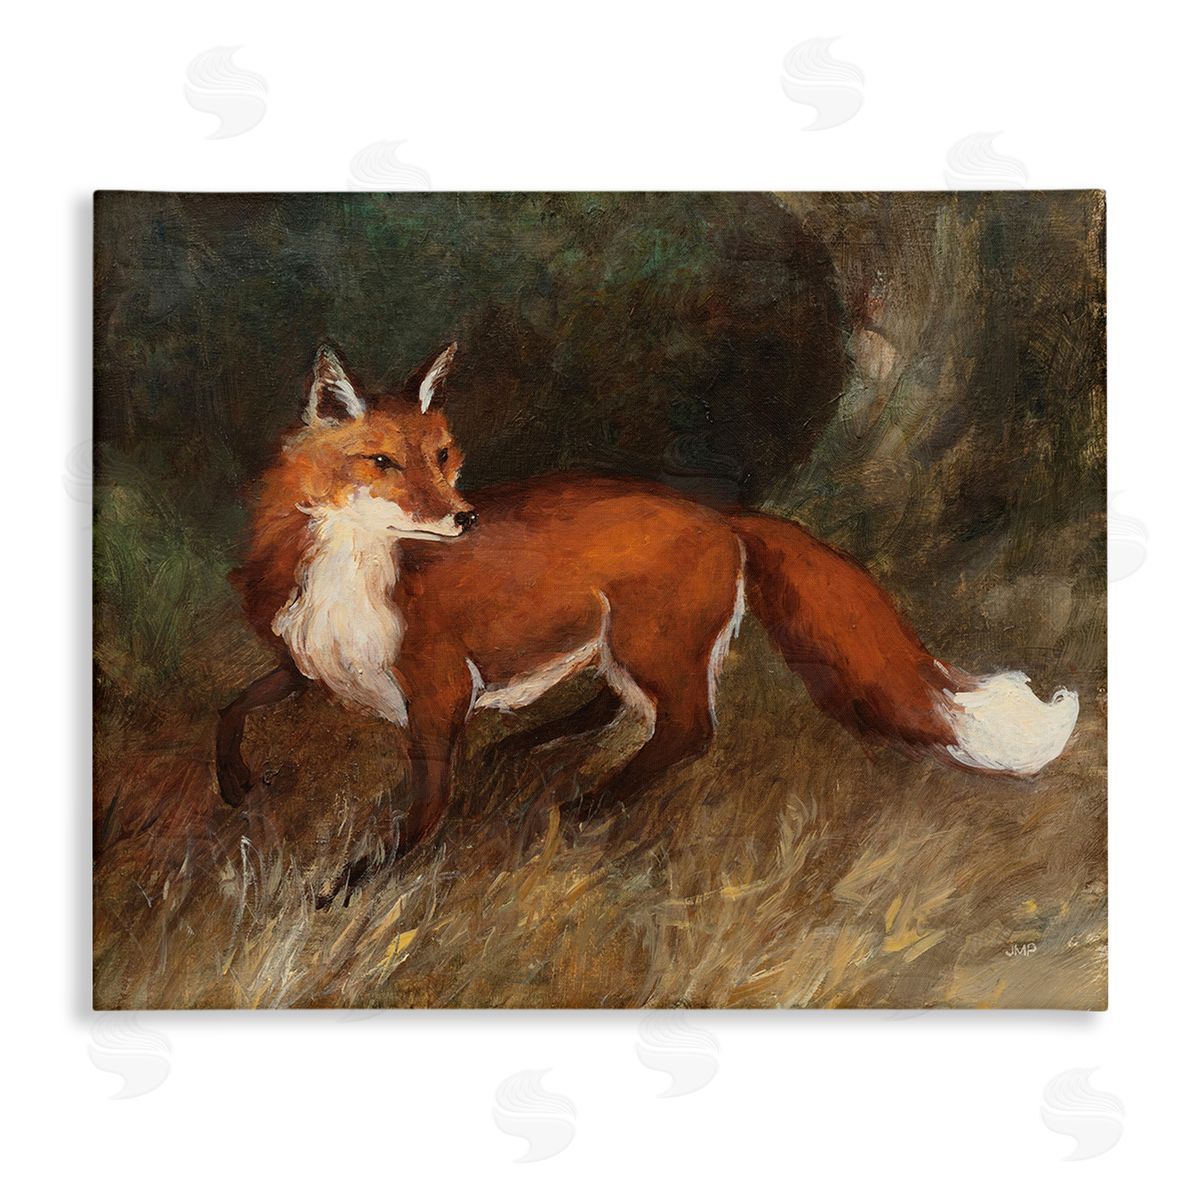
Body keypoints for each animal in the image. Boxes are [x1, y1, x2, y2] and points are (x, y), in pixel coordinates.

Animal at [218, 342, 1080, 902]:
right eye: (382, 463)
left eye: (443, 456)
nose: (464, 519)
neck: (356, 577)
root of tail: (721, 513)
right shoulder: (308, 667)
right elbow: (232, 706)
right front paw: (234, 785)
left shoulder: (435, 690)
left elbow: (425, 808)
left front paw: (358, 884)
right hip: (622, 645)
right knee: (621, 711)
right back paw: (527, 753)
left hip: (647, 644)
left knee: (687, 730)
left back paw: (588, 805)